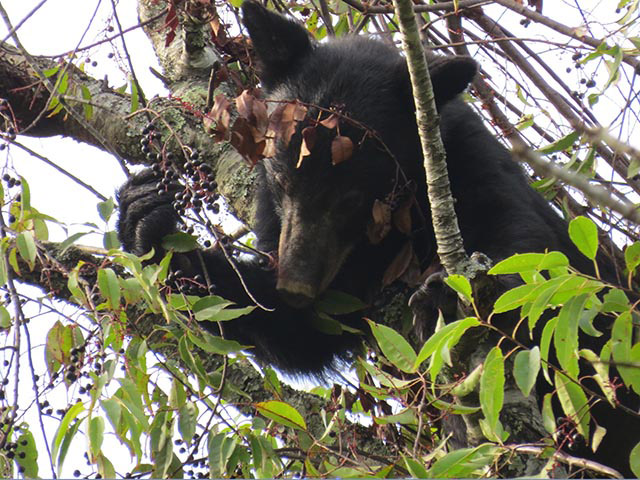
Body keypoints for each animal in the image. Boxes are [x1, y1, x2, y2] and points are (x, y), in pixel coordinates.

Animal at [117, 1, 636, 476]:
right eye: (284, 180)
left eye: (352, 197)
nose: (298, 285)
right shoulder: (288, 231)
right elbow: (297, 325)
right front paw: (147, 223)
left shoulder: (470, 164)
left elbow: (535, 263)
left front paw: (446, 295)